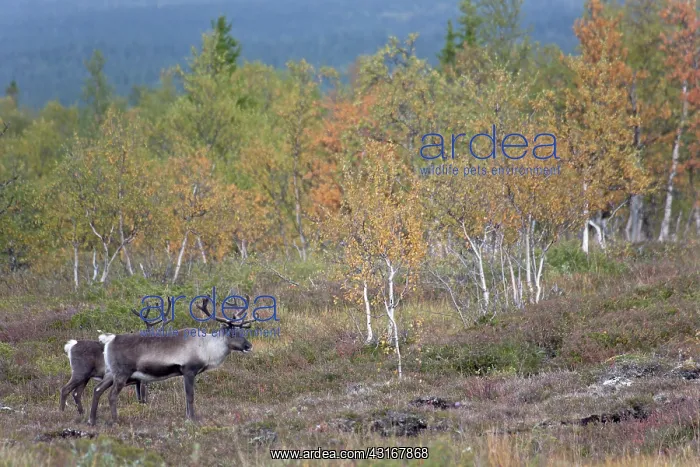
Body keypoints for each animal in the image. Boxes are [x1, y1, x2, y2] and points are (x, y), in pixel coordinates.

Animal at [88, 297, 253, 425]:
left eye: (242, 331)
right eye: (233, 333)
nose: (249, 346)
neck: (207, 347)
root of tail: (109, 340)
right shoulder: (188, 371)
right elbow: (190, 396)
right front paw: (192, 418)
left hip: (111, 374)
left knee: (97, 390)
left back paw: (92, 420)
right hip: (122, 374)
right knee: (111, 395)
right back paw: (115, 420)